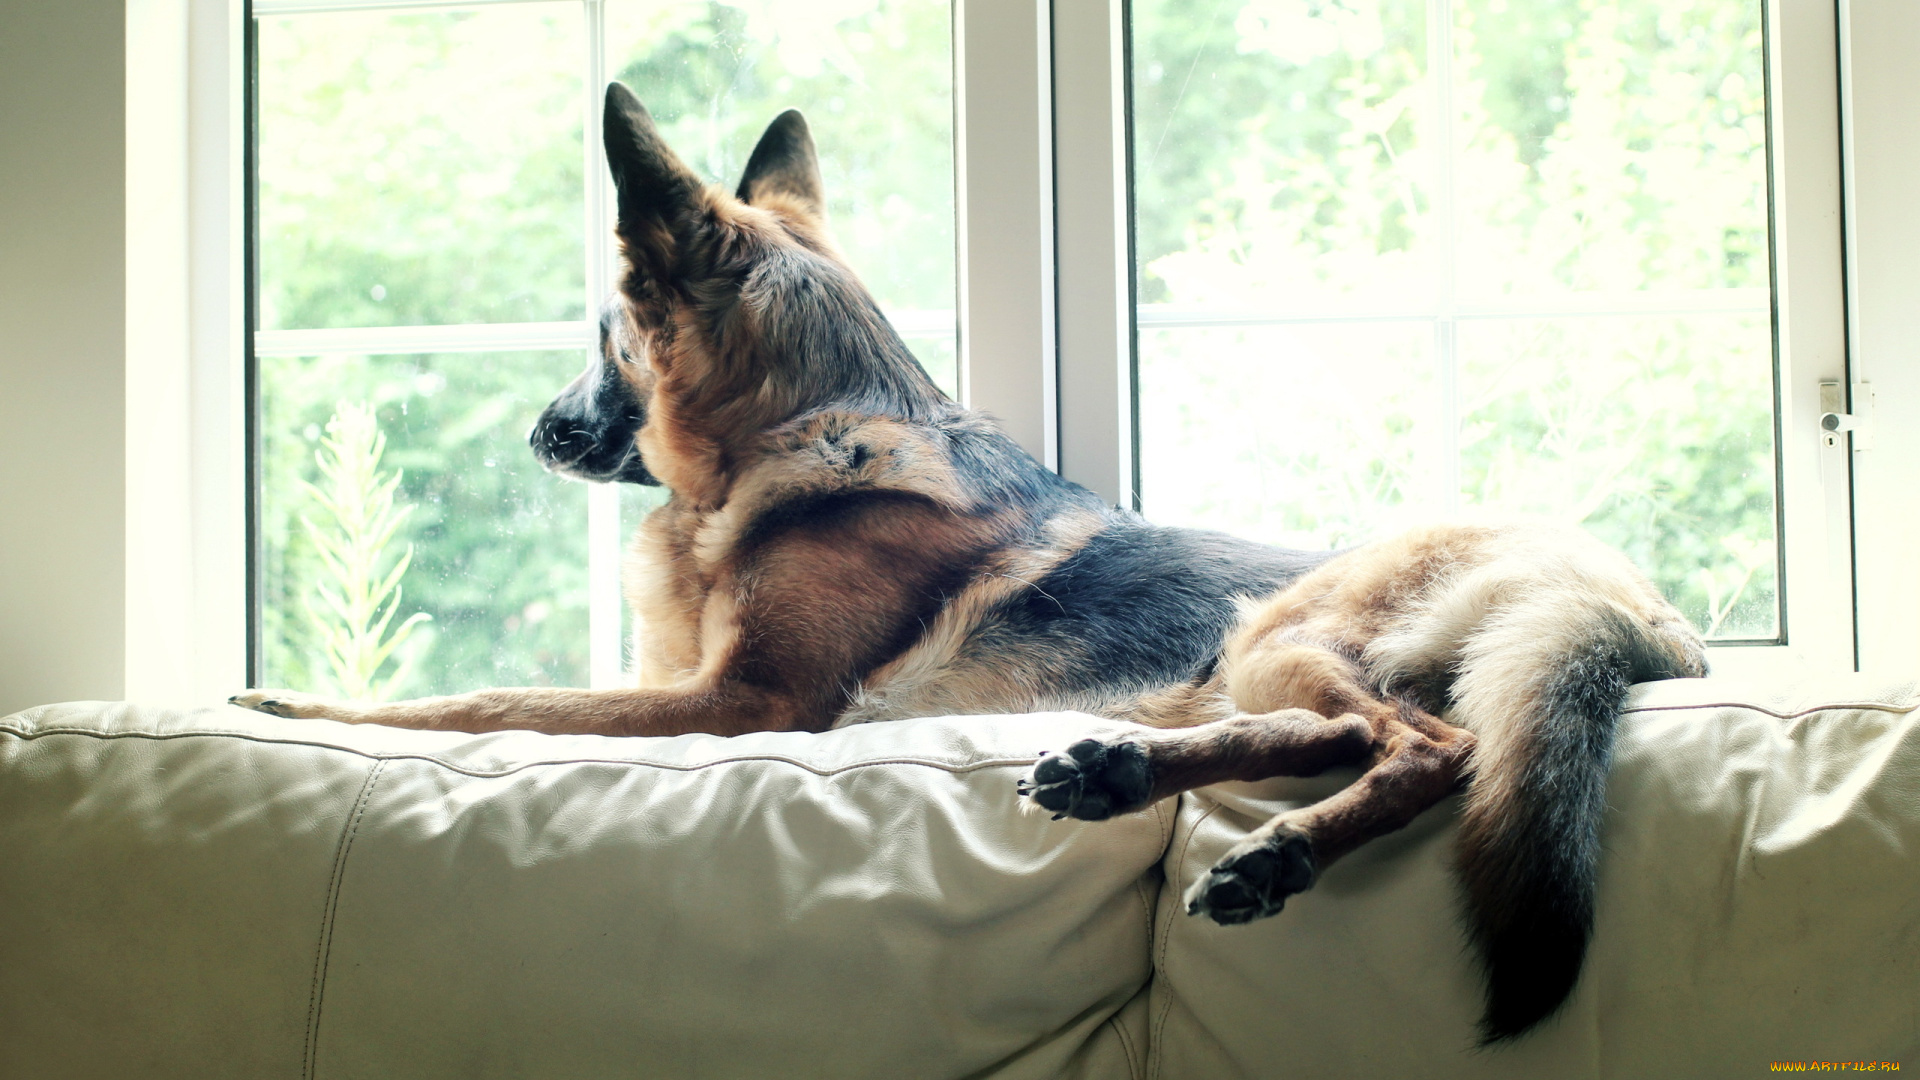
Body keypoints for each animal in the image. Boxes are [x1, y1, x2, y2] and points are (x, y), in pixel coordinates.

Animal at [228, 84, 1712, 1045]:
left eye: (610, 336)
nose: (538, 434)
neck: (807, 431)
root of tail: (1637, 605)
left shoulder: (740, 702)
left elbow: (485, 700)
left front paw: (295, 702)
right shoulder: (689, 684)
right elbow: (526, 686)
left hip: (1275, 629)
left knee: (1422, 748)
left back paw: (1264, 846)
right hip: (1249, 661)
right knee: (1336, 737)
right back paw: (1125, 780)